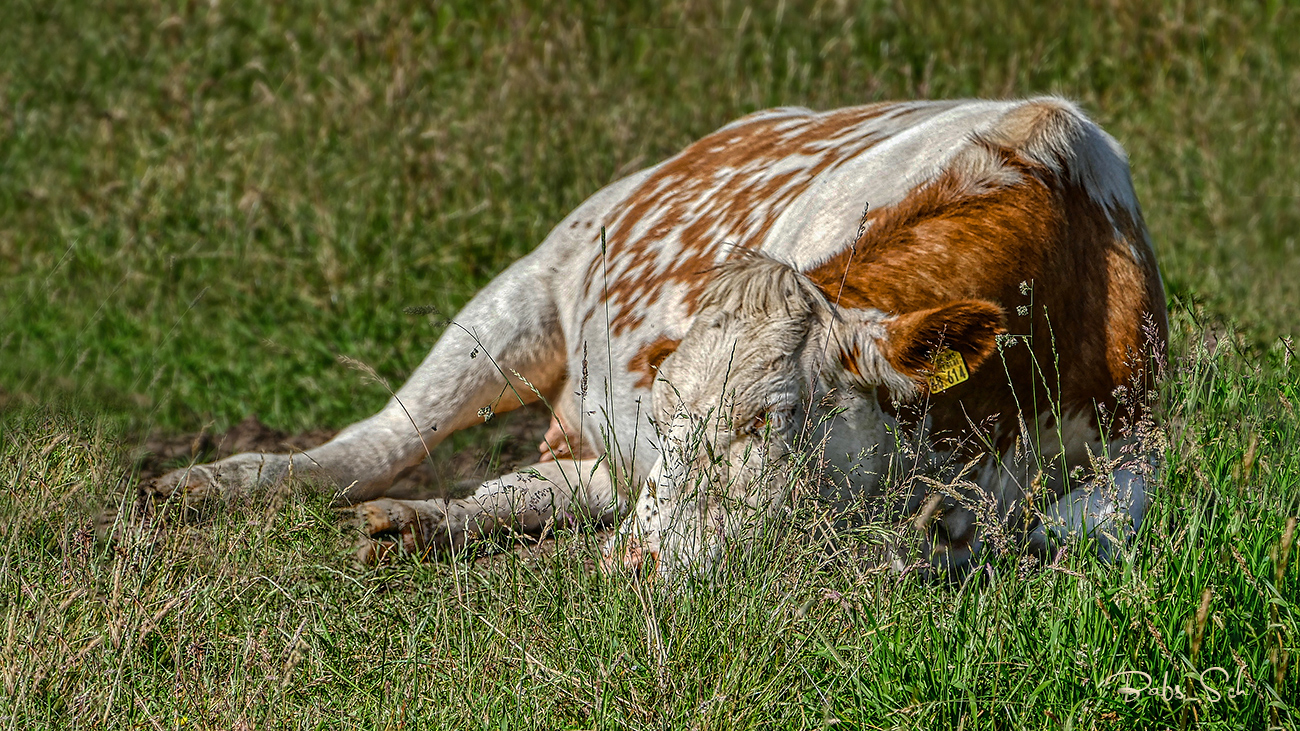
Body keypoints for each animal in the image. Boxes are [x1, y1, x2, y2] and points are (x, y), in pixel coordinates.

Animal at [144, 98, 1170, 580]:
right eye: (671, 404)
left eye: (772, 418)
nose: (637, 564)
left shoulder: (1147, 442)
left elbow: (1076, 527)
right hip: (519, 295)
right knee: (380, 439)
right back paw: (223, 483)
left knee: (538, 486)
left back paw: (424, 523)